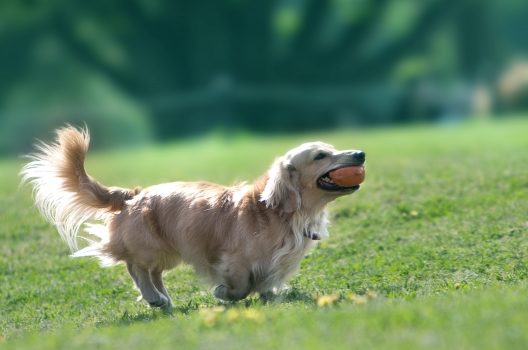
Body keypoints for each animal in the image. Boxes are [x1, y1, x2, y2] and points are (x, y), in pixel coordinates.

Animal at [21, 127, 368, 308]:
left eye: (333, 148)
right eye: (321, 155)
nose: (361, 153)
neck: (277, 213)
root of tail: (133, 195)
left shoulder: (275, 264)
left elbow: (266, 284)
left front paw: (270, 296)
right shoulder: (232, 261)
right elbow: (241, 285)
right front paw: (223, 294)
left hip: (169, 251)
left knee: (153, 272)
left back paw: (162, 297)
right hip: (150, 247)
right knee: (136, 267)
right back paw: (154, 298)